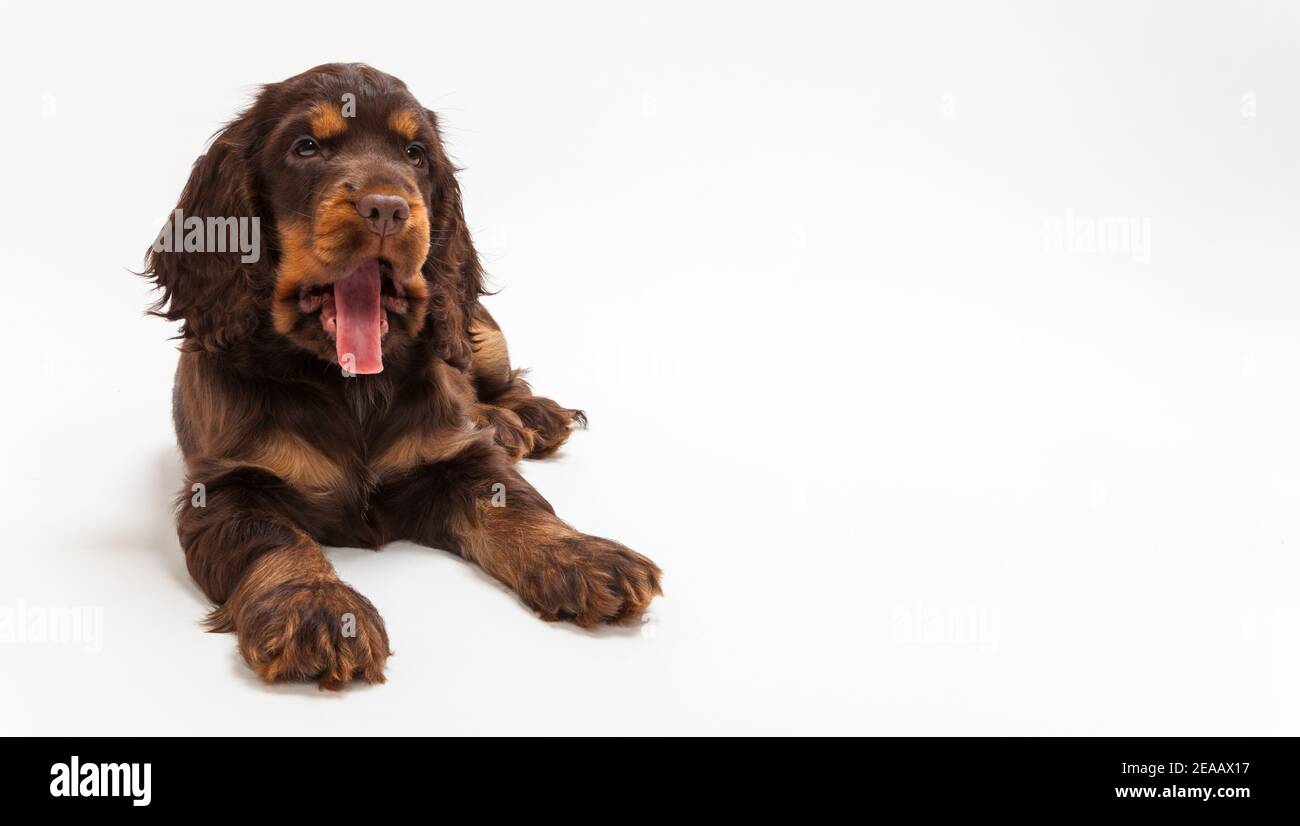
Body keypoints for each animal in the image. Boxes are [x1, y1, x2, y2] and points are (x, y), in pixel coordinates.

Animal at [144, 61, 660, 686]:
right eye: (306, 146)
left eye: (416, 154)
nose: (387, 209)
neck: (348, 384)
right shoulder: (224, 488)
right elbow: (273, 539)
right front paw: (316, 606)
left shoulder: (457, 456)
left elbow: (513, 501)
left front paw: (582, 555)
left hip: (479, 333)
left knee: (496, 382)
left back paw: (526, 417)